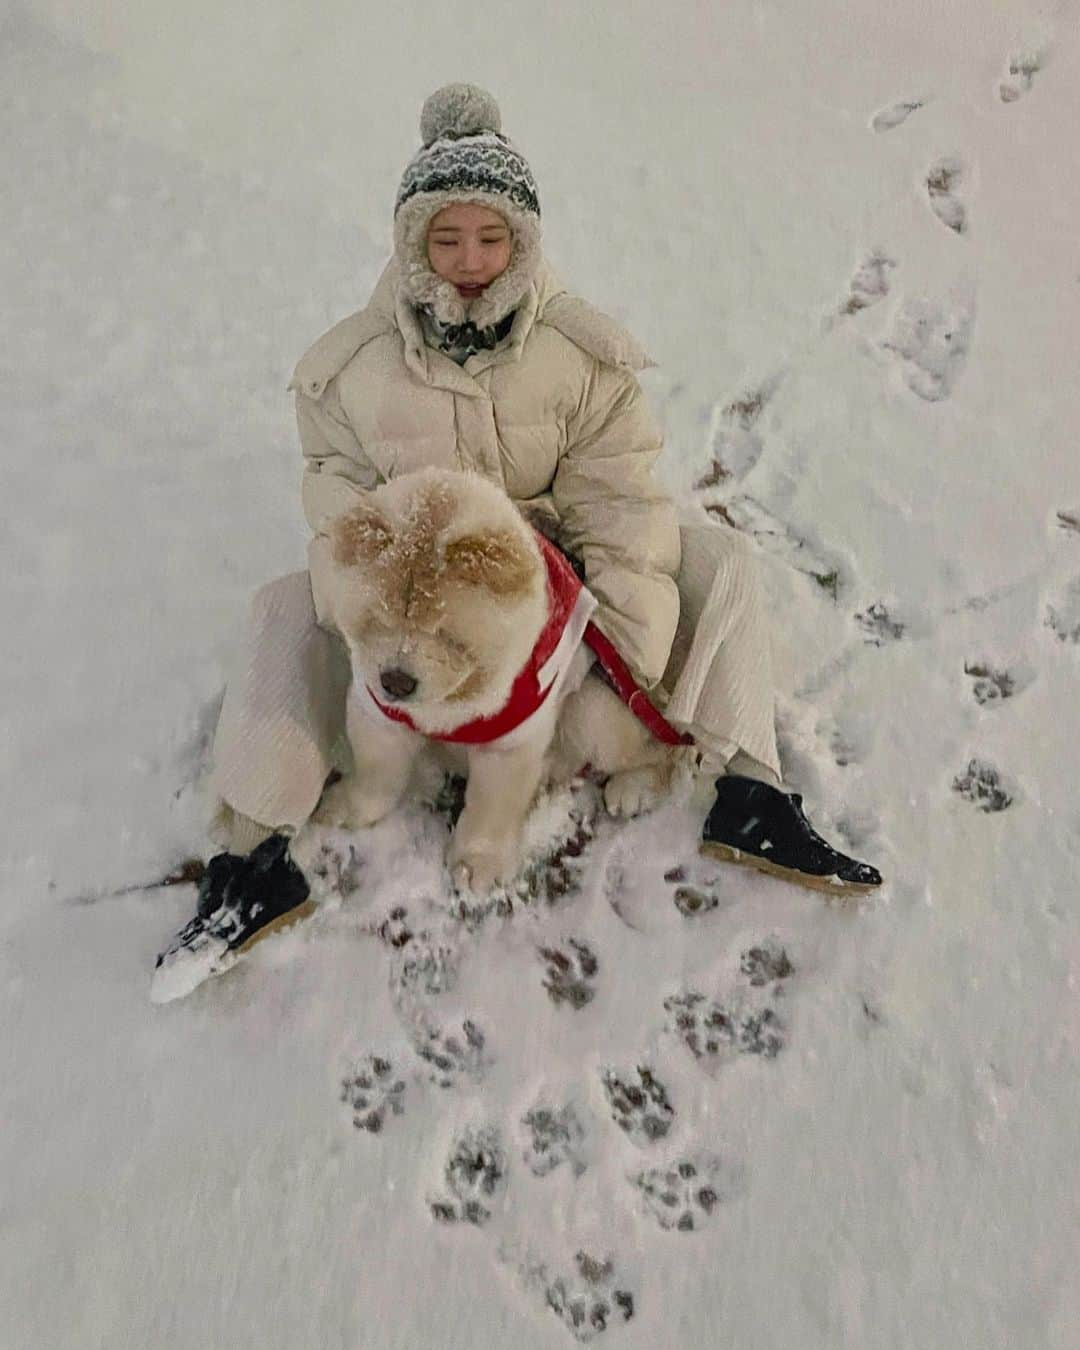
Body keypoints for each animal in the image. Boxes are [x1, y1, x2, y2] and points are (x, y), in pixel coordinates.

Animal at [311, 469, 683, 891]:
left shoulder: (509, 741)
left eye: (446, 635)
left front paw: (476, 865)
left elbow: (490, 808)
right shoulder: (375, 714)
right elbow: (375, 775)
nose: (396, 682)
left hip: (595, 712)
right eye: (377, 620)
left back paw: (632, 788)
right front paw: (344, 809)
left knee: (658, 749)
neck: (452, 703)